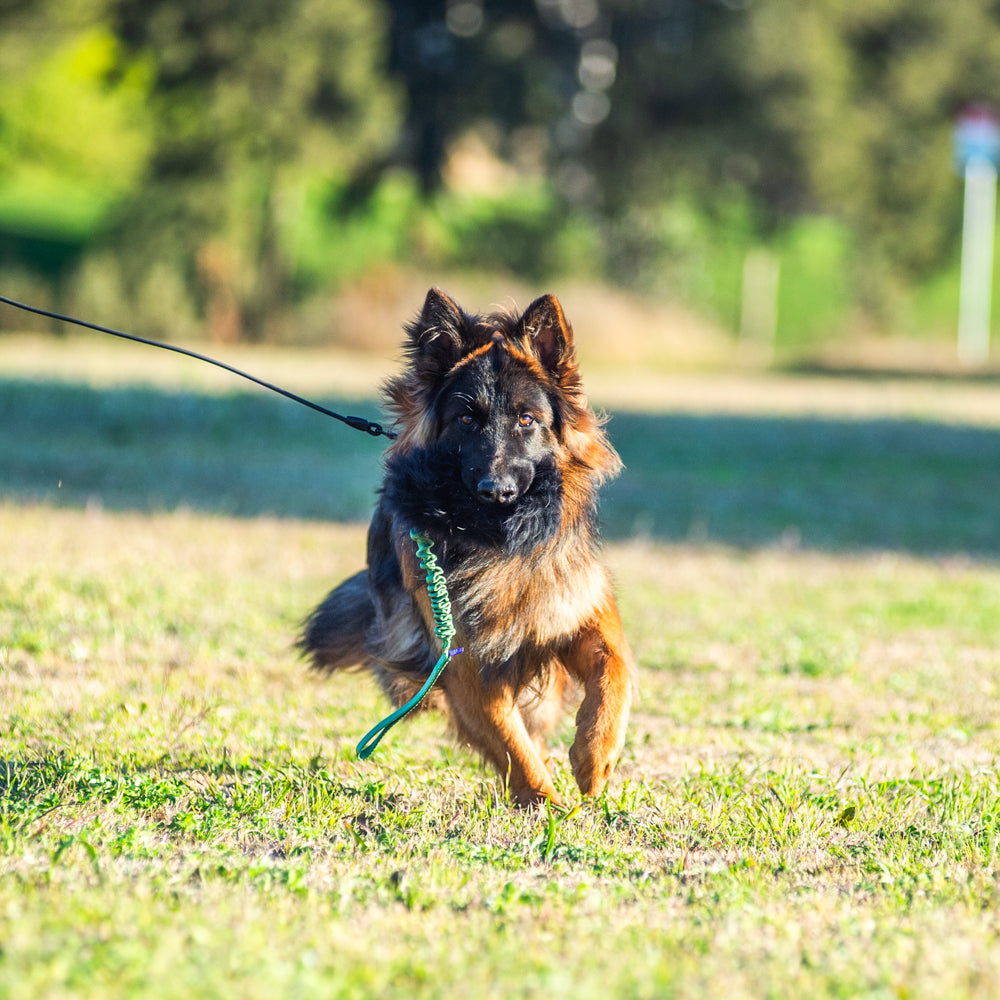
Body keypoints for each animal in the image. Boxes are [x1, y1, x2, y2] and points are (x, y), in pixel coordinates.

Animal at [300, 290, 636, 804]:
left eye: (527, 419)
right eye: (465, 419)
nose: (496, 492)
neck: (498, 544)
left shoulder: (575, 606)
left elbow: (615, 671)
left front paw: (595, 756)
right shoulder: (463, 663)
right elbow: (510, 742)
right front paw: (544, 802)